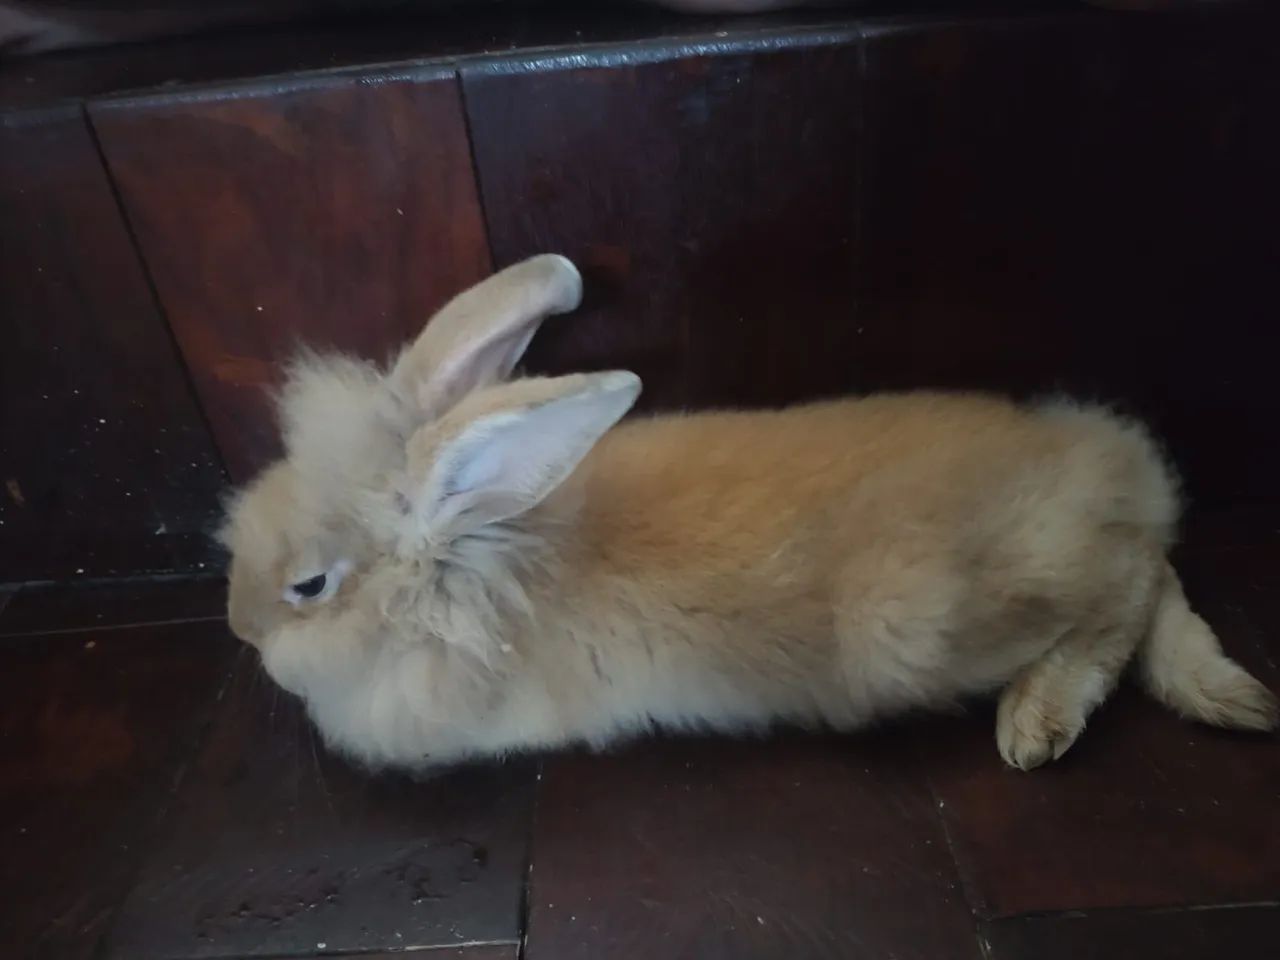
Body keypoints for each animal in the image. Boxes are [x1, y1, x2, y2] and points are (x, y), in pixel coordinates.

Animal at [222, 253, 1278, 773]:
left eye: (308, 585)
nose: (240, 632)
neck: (481, 563)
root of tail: (1114, 465)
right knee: (1152, 570)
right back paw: (1220, 690)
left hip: (923, 625)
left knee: (1123, 590)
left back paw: (1040, 720)